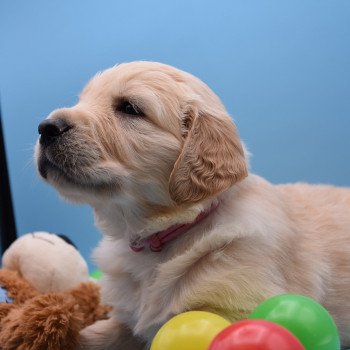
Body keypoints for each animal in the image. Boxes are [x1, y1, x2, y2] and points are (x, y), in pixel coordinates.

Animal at [34, 61, 350, 348]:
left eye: (130, 108)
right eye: (82, 100)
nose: (46, 127)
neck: (160, 234)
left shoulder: (238, 308)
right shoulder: (125, 322)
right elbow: (92, 336)